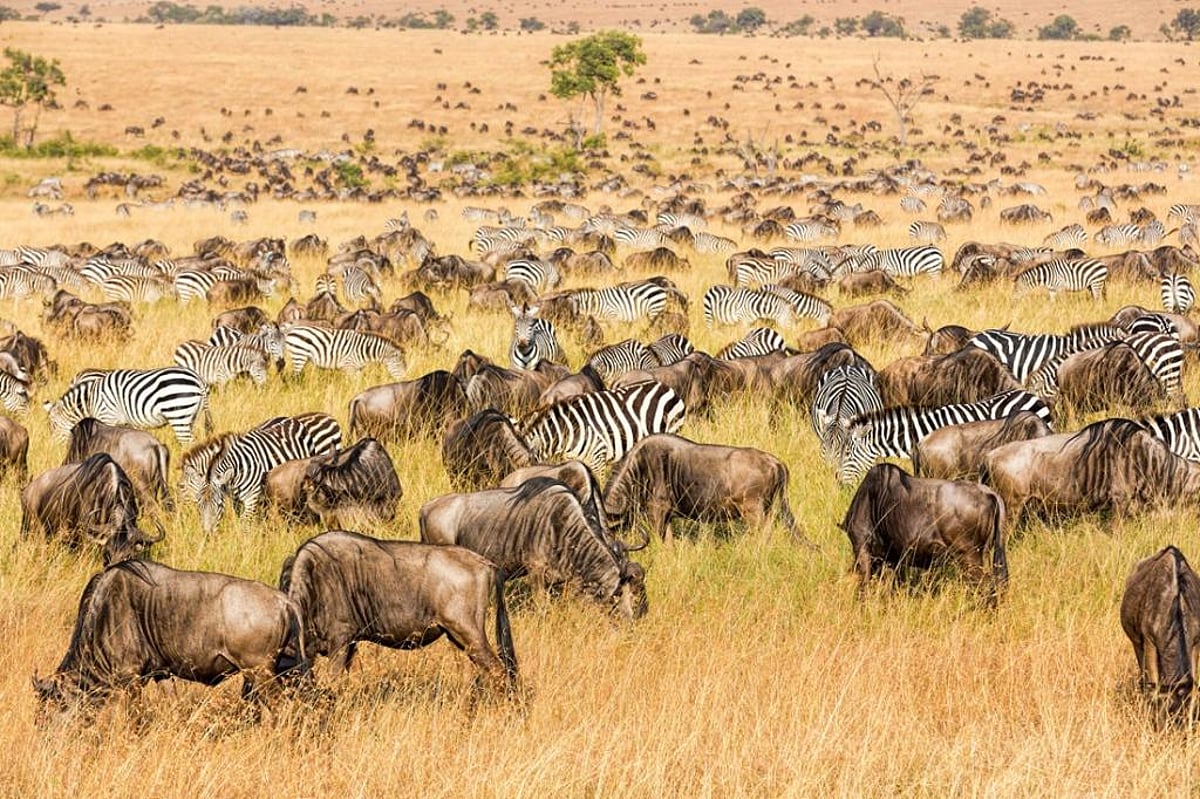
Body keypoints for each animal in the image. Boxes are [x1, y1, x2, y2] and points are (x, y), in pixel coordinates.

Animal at [44, 367, 210, 444]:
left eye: (53, 426)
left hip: (178, 414)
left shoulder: (107, 417)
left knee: (188, 443)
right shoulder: (124, 423)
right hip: (192, 416)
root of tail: (198, 379)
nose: (52, 448)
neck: (91, 400)